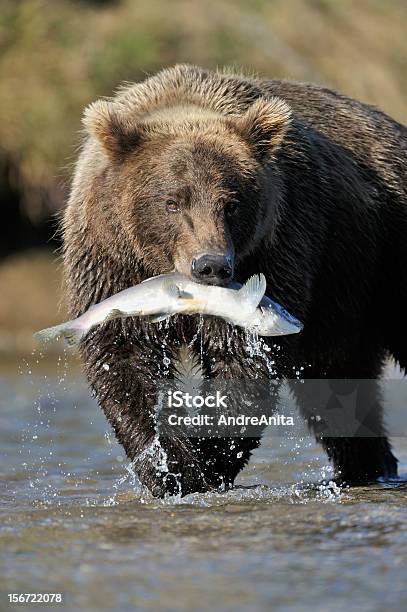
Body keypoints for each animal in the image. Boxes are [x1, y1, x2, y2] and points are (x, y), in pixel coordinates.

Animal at [62, 64, 406, 498]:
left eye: (232, 203)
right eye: (171, 202)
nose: (211, 265)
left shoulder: (276, 249)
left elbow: (241, 361)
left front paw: (206, 462)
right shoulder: (112, 264)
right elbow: (124, 357)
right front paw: (171, 467)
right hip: (344, 296)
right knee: (338, 389)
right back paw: (367, 468)